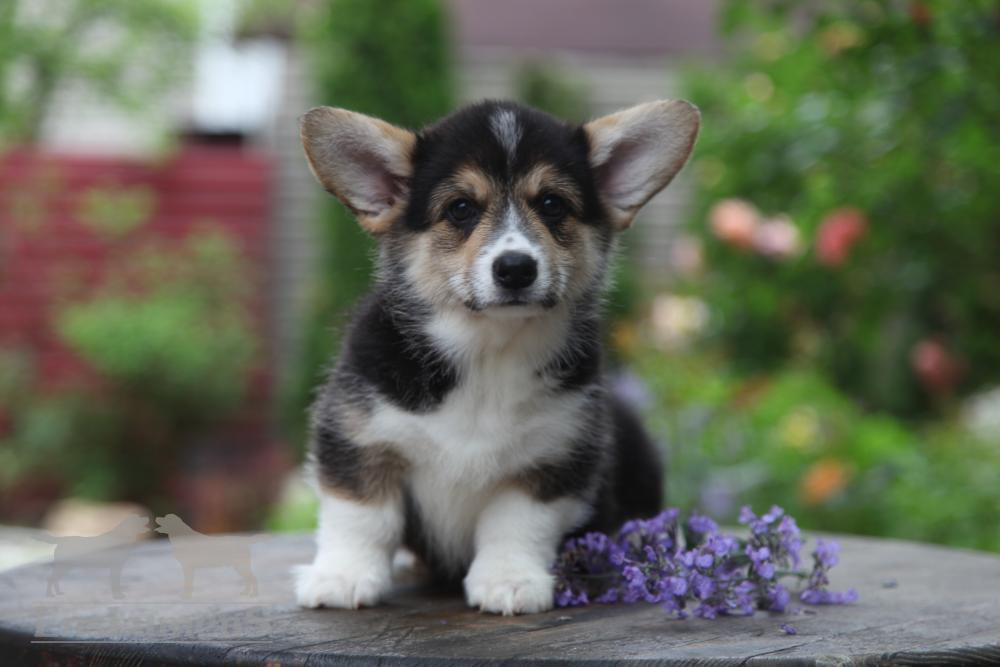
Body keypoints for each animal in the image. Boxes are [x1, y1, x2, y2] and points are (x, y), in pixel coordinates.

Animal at [292, 99, 700, 616]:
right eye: (461, 208)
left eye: (552, 204)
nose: (516, 269)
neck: (489, 350)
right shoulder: (357, 438)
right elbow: (361, 517)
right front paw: (343, 577)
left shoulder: (553, 460)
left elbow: (515, 525)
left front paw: (510, 582)